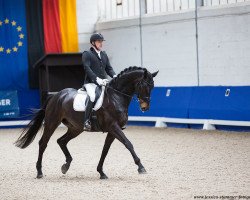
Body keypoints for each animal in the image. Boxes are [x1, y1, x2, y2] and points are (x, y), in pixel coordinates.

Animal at [16, 66, 158, 179]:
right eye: (144, 85)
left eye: (152, 86)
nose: (145, 107)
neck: (116, 97)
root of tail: (56, 95)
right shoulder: (113, 127)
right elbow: (128, 144)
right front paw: (141, 167)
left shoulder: (112, 130)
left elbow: (105, 150)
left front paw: (101, 172)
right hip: (52, 123)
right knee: (43, 143)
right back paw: (39, 172)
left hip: (75, 128)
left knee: (61, 141)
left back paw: (66, 165)